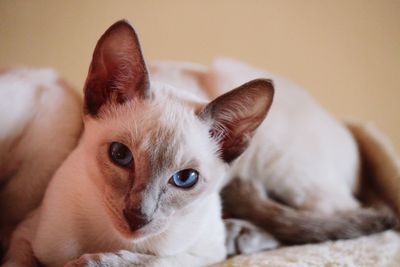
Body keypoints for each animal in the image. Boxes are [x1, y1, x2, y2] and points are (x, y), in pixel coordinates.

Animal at [2, 19, 396, 267]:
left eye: (185, 179)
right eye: (120, 155)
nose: (138, 216)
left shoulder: (197, 254)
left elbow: (146, 262)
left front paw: (93, 262)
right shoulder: (27, 234)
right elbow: (18, 259)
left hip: (281, 164)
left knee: (329, 219)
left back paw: (243, 234)